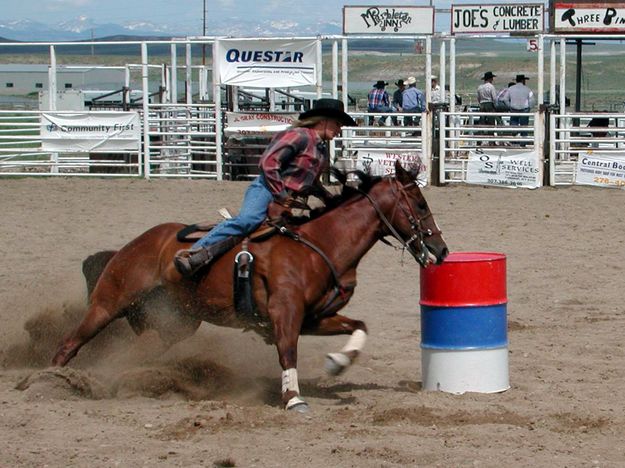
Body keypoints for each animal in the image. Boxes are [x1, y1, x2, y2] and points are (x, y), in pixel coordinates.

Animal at [51, 162, 446, 414]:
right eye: (419, 203)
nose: (441, 251)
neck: (320, 246)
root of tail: (132, 245)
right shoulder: (284, 314)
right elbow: (288, 352)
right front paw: (293, 399)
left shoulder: (314, 318)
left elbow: (359, 326)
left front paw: (338, 362)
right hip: (109, 302)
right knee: (70, 343)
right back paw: (54, 380)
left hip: (177, 323)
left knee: (141, 348)